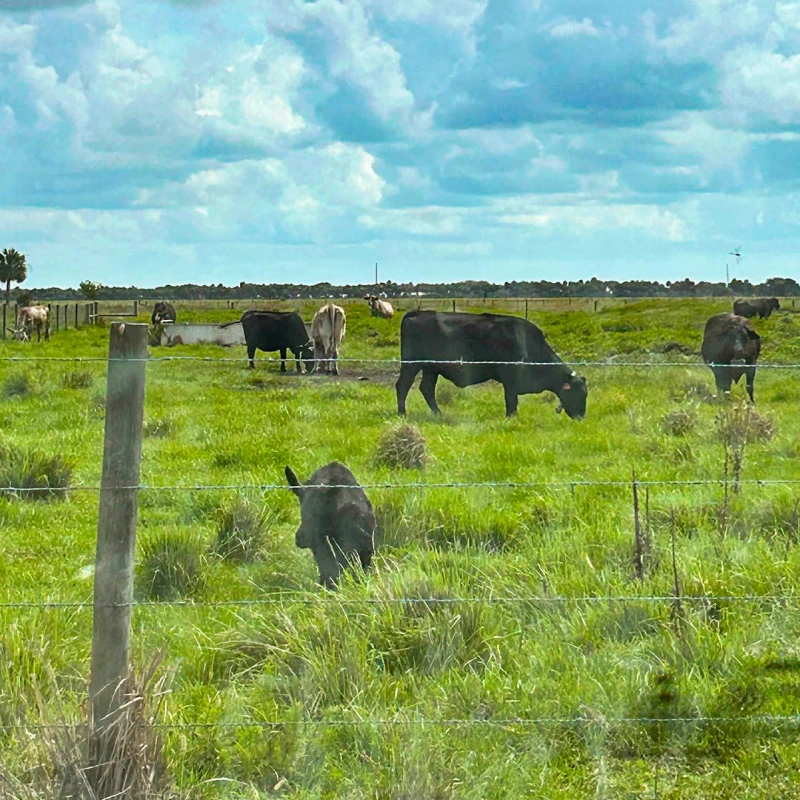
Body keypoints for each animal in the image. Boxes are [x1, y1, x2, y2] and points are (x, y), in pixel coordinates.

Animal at [396, 310, 588, 419]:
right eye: (579, 394)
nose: (581, 417)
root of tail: (417, 313)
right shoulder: (510, 378)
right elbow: (511, 400)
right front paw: (512, 418)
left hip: (431, 368)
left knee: (426, 388)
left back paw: (438, 414)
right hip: (411, 364)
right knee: (403, 386)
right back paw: (402, 413)